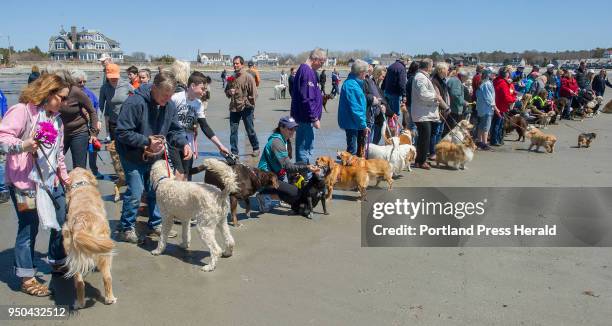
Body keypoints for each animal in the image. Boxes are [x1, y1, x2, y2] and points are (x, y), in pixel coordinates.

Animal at [64, 168, 116, 308]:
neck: (80, 184)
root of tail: (80, 224)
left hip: (73, 253)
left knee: (79, 282)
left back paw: (80, 302)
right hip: (104, 252)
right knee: (107, 278)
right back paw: (110, 299)